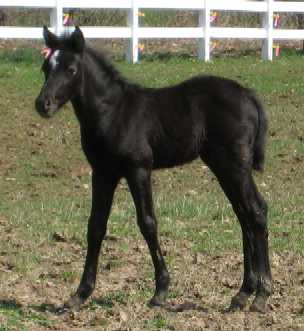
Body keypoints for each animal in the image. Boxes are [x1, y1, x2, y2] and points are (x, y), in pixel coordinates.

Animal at [35, 26, 270, 314]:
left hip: (234, 165)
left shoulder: (138, 169)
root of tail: (249, 94)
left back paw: (262, 294)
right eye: (46, 67)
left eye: (71, 69)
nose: (43, 104)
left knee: (256, 211)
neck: (113, 112)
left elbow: (148, 223)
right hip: (223, 165)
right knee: (243, 214)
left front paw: (160, 291)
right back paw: (242, 294)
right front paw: (79, 295)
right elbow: (96, 226)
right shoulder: (102, 173)